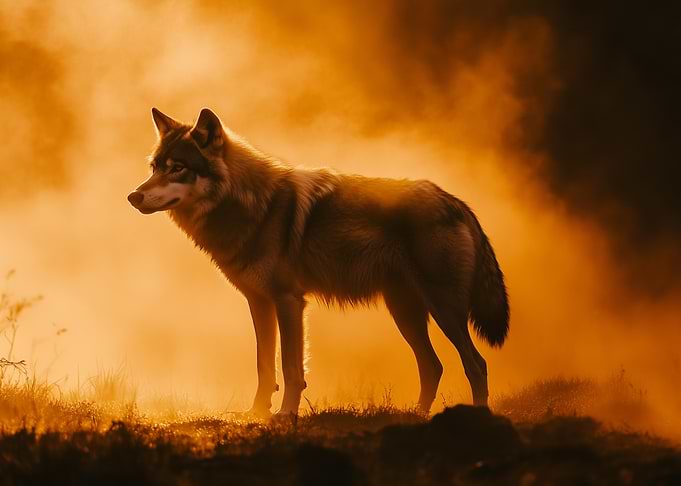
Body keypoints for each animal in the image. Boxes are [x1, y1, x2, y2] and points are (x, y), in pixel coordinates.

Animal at [127, 107, 509, 416]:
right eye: (154, 167)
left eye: (178, 168)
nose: (133, 196)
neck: (253, 205)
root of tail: (455, 201)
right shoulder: (258, 302)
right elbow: (264, 366)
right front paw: (256, 413)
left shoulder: (289, 301)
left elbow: (291, 369)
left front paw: (285, 415)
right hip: (405, 313)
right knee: (433, 367)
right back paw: (416, 416)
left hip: (444, 310)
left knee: (476, 364)